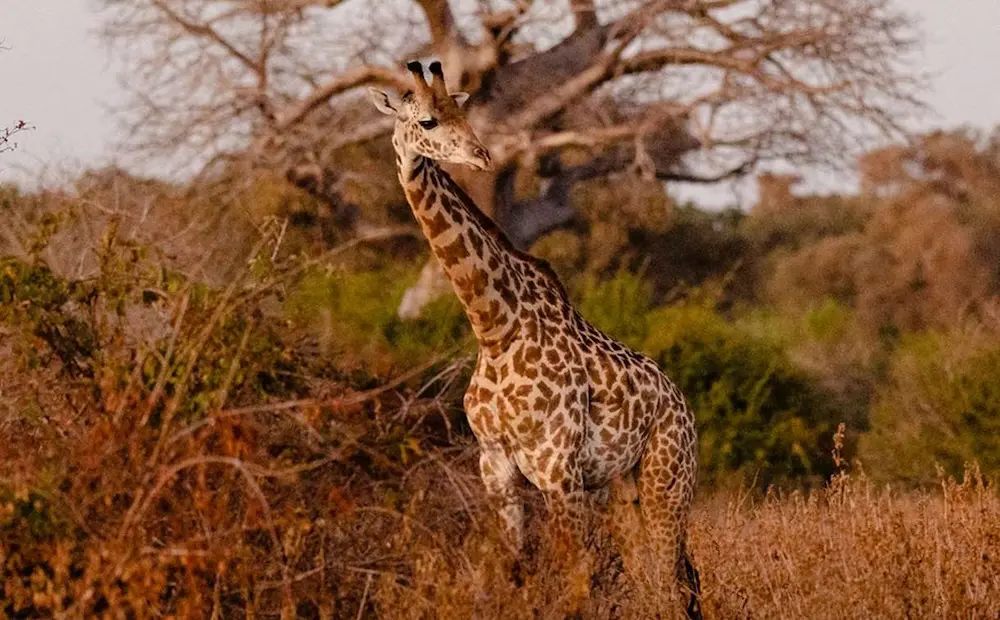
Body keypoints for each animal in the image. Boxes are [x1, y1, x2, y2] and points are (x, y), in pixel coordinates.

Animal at [369, 61, 701, 617]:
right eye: (429, 121)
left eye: (464, 112)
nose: (481, 155)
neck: (495, 329)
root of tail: (682, 404)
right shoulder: (497, 469)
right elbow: (518, 572)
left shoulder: (559, 472)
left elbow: (577, 580)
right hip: (624, 487)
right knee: (666, 575)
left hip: (666, 479)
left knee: (671, 577)